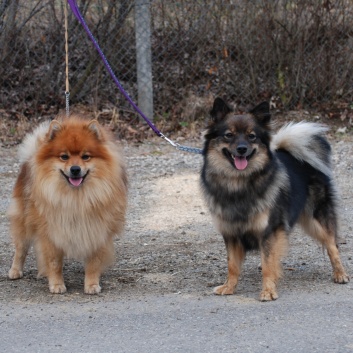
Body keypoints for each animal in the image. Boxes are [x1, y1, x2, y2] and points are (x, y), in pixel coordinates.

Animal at [8, 116, 127, 294]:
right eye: (64, 157)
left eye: (86, 157)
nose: (75, 169)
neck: (75, 197)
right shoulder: (51, 231)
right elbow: (54, 262)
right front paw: (57, 284)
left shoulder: (96, 230)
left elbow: (93, 262)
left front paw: (92, 284)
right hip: (24, 220)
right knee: (21, 248)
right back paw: (15, 270)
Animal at [201, 97, 350, 300]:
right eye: (228, 135)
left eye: (252, 136)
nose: (242, 149)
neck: (239, 183)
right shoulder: (231, 233)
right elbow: (232, 265)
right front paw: (229, 287)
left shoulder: (269, 230)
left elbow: (268, 265)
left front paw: (268, 290)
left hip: (316, 220)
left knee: (332, 245)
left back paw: (340, 274)